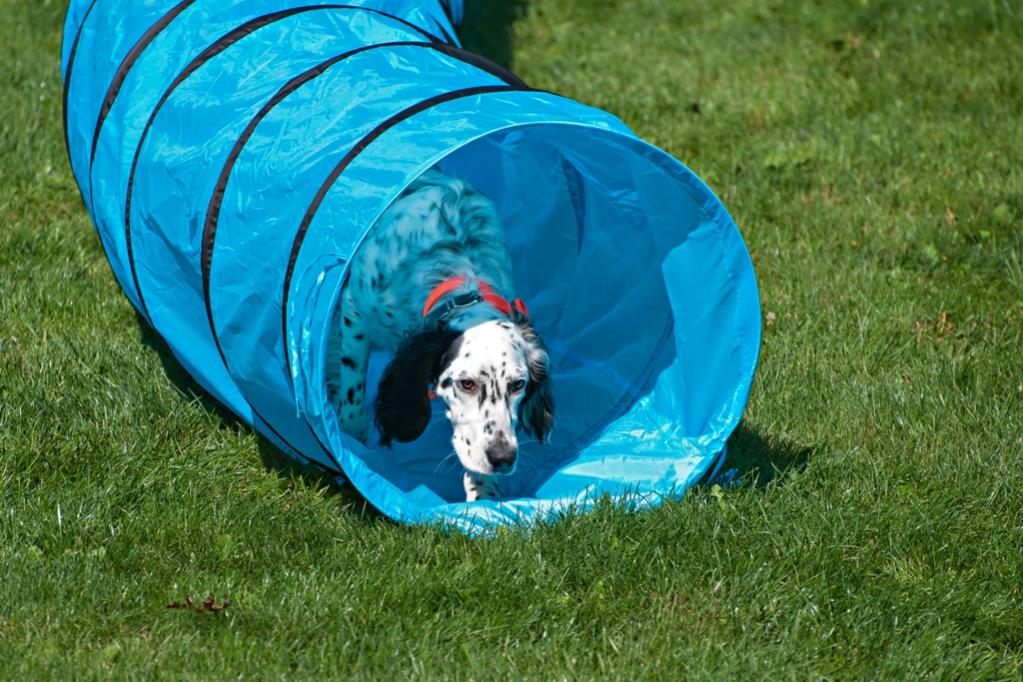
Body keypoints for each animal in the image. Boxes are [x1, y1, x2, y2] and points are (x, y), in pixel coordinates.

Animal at [325, 169, 552, 501]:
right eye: (466, 383)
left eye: (518, 384)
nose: (503, 458)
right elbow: (353, 404)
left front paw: (485, 494)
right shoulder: (356, 313)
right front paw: (351, 447)